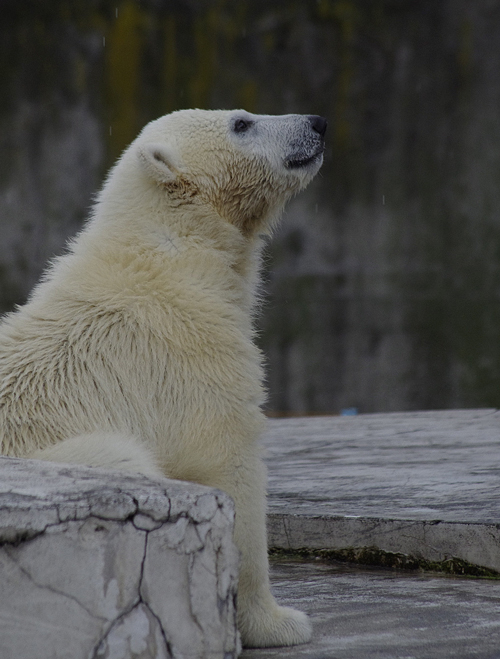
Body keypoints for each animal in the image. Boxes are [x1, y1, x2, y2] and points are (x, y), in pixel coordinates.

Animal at [0, 108, 326, 648]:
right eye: (241, 123)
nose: (317, 123)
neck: (172, 252)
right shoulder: (192, 350)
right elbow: (230, 467)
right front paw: (279, 623)